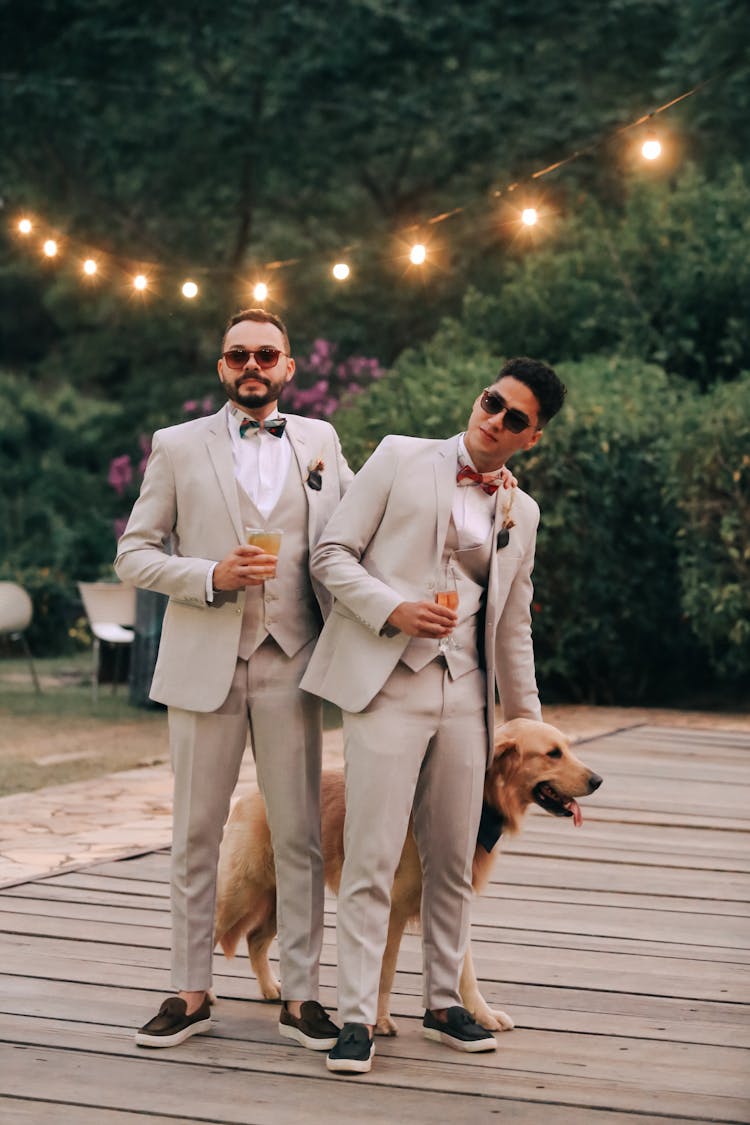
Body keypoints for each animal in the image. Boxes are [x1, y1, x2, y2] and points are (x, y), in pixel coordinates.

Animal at [213, 720, 602, 1035]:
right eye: (553, 754)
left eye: (566, 748)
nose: (598, 780)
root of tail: (251, 793)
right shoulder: (393, 908)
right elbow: (384, 969)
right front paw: (380, 1021)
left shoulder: (449, 896)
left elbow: (464, 970)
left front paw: (483, 1015)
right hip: (242, 892)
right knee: (212, 929)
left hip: (282, 894)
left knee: (256, 939)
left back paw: (272, 989)